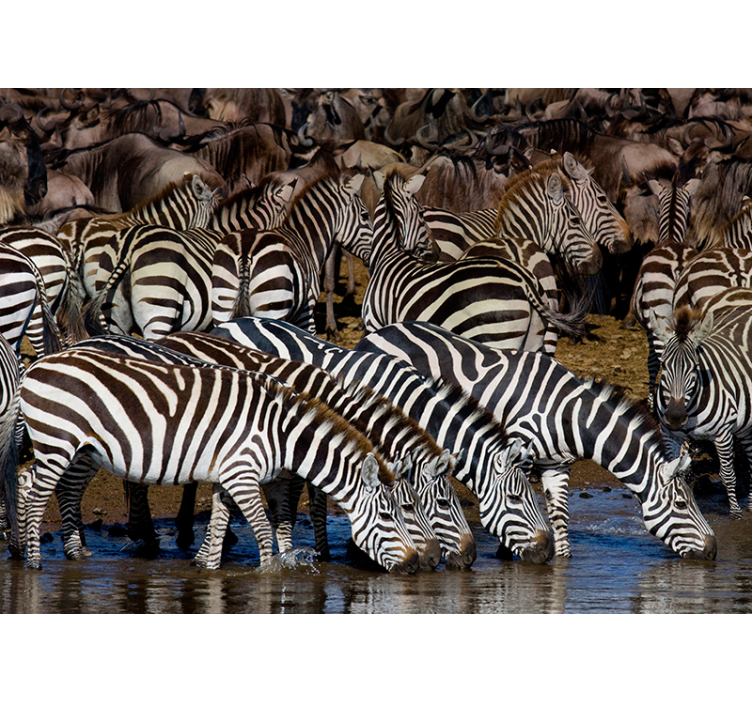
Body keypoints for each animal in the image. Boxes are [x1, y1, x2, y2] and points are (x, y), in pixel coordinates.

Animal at [3, 347, 420, 572]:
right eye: (391, 516)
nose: (416, 564)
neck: (281, 434)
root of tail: (37, 365)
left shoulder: (226, 475)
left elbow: (220, 523)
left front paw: (207, 566)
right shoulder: (242, 473)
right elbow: (262, 528)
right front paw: (270, 572)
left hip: (78, 447)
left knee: (37, 485)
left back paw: (43, 552)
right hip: (59, 439)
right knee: (37, 495)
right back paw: (34, 561)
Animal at [210, 173, 373, 333]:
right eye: (365, 215)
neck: (305, 239)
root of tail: (245, 254)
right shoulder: (306, 311)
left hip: (222, 306)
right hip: (272, 308)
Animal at [354, 320, 718, 560]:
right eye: (683, 505)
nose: (714, 551)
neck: (570, 415)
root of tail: (375, 335)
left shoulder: (558, 466)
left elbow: (559, 517)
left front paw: (560, 561)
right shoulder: (519, 452)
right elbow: (515, 501)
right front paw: (509, 552)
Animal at [361, 170, 587, 354]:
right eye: (420, 214)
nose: (436, 252)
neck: (390, 253)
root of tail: (525, 282)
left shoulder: (375, 324)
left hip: (496, 338)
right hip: (535, 339)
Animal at [652, 289, 752, 518]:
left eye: (694, 367)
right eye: (664, 365)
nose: (675, 417)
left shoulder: (723, 434)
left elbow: (728, 475)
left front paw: (736, 515)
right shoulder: (670, 434)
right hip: (745, 424)